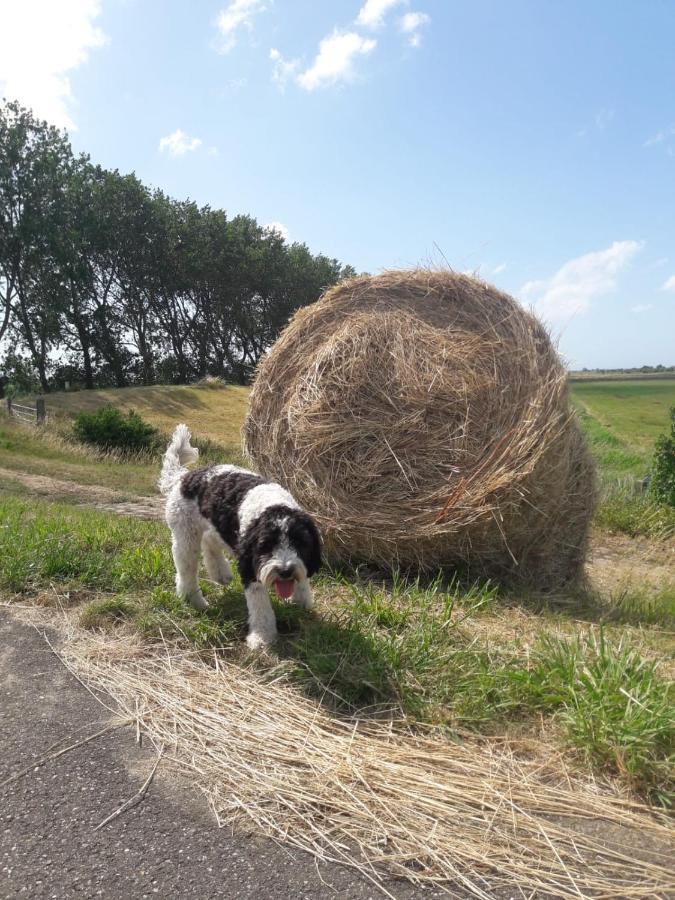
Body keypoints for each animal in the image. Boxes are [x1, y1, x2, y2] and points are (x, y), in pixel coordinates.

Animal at [162, 424, 324, 648]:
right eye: (265, 545)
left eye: (301, 543)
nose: (285, 571)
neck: (273, 507)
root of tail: (183, 477)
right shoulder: (249, 564)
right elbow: (260, 606)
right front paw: (262, 637)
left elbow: (302, 577)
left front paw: (302, 599)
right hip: (185, 535)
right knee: (186, 570)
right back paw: (194, 600)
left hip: (219, 528)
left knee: (209, 542)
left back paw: (220, 573)